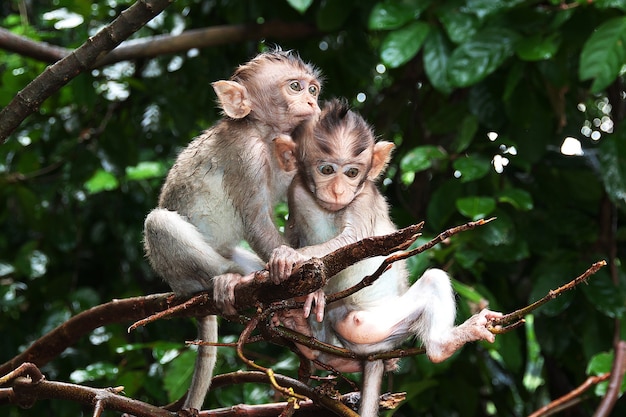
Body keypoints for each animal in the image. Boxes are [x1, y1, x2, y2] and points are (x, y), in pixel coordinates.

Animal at [143, 48, 322, 410]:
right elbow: (255, 219)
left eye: (313, 89)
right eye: (295, 86)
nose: (313, 102)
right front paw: (289, 261)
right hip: (177, 273)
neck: (264, 132)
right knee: (157, 223)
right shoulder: (246, 153)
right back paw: (227, 280)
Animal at [266, 100, 500, 416]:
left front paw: (290, 257)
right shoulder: (296, 189)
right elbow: (294, 233)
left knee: (434, 279)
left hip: (379, 324)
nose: (338, 190)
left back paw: (442, 345)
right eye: (327, 169)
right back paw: (308, 337)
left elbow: (355, 241)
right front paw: (300, 281)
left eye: (352, 173)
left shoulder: (364, 197)